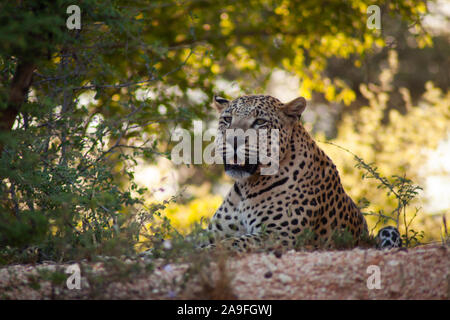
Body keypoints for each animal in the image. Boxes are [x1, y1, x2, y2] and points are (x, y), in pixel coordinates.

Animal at [202, 94, 402, 251]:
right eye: (227, 119)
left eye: (260, 122)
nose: (232, 141)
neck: (247, 185)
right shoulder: (215, 231)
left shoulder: (280, 234)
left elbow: (232, 243)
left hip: (388, 229)